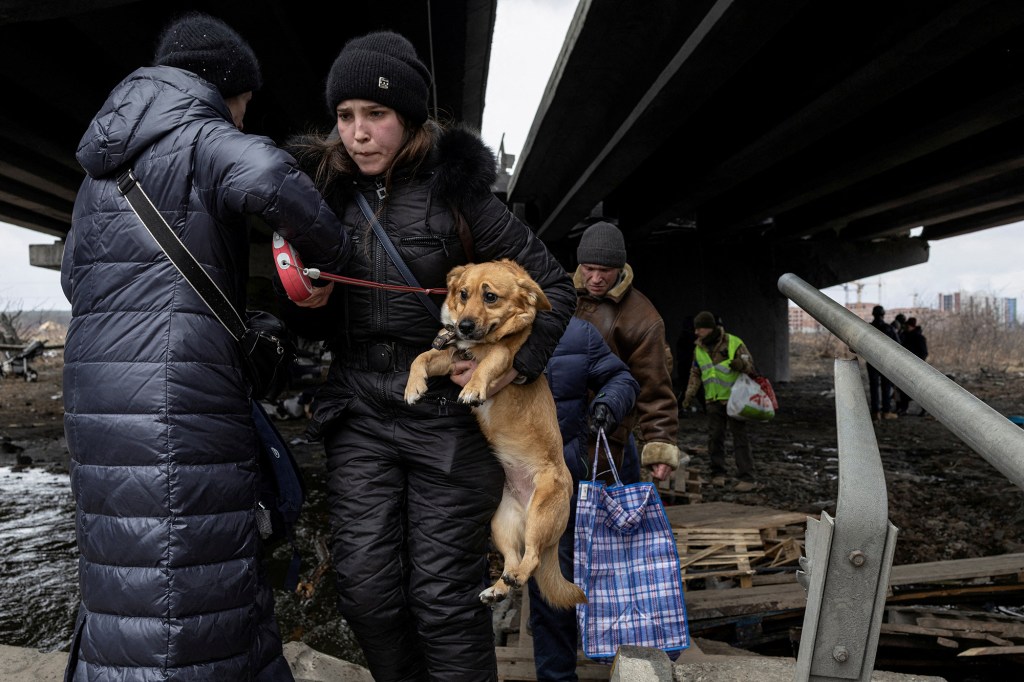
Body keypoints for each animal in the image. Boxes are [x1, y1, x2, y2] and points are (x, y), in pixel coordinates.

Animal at [403, 258, 589, 606]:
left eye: (490, 297)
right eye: (463, 294)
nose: (463, 326)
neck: (477, 344)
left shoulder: (503, 357)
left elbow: (489, 363)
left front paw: (473, 390)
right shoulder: (450, 359)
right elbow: (421, 357)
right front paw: (413, 387)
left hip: (539, 516)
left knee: (533, 558)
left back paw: (515, 578)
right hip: (500, 525)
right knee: (514, 559)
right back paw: (499, 588)